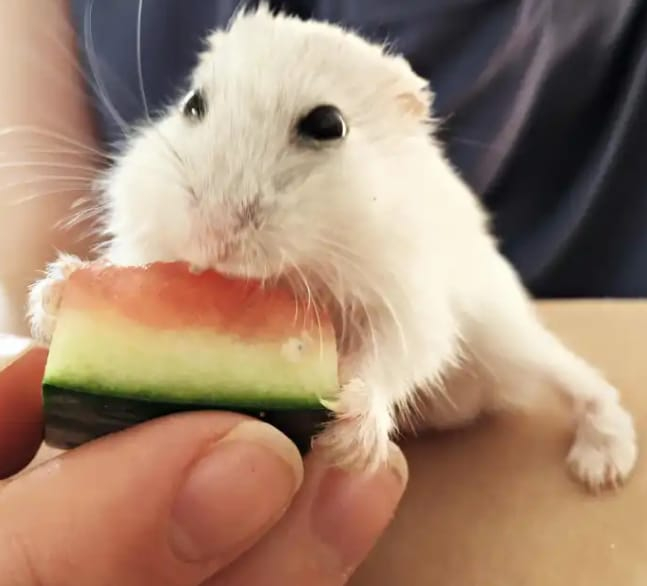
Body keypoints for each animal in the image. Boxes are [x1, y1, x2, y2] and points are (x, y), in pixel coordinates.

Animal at [29, 5, 636, 490]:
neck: (306, 266)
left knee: (585, 382)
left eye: (328, 124)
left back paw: (601, 465)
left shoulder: (410, 303)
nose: (212, 239)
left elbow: (396, 357)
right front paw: (56, 290)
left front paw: (350, 436)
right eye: (193, 105)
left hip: (512, 338)